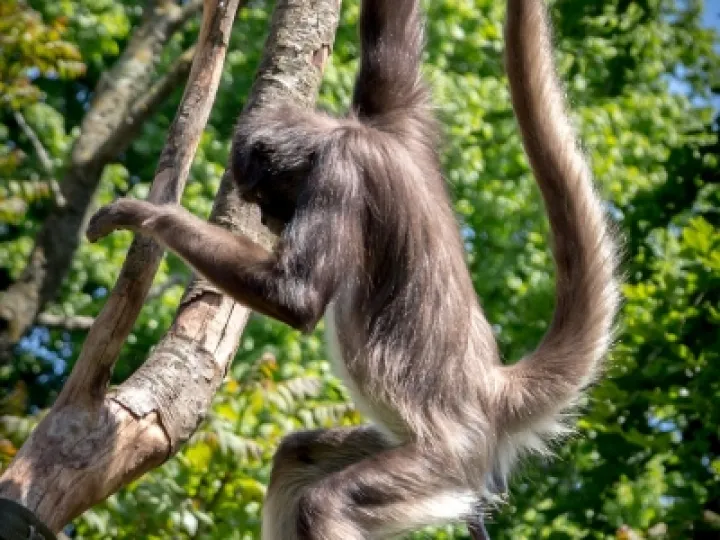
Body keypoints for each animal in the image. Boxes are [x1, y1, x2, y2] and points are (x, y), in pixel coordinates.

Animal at [86, 0, 619, 537]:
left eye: (263, 196)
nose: (268, 220)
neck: (354, 133)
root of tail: (489, 391)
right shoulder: (396, 116)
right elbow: (392, 32)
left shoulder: (339, 168)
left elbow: (296, 297)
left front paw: (152, 215)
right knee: (295, 455)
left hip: (445, 461)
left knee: (327, 504)